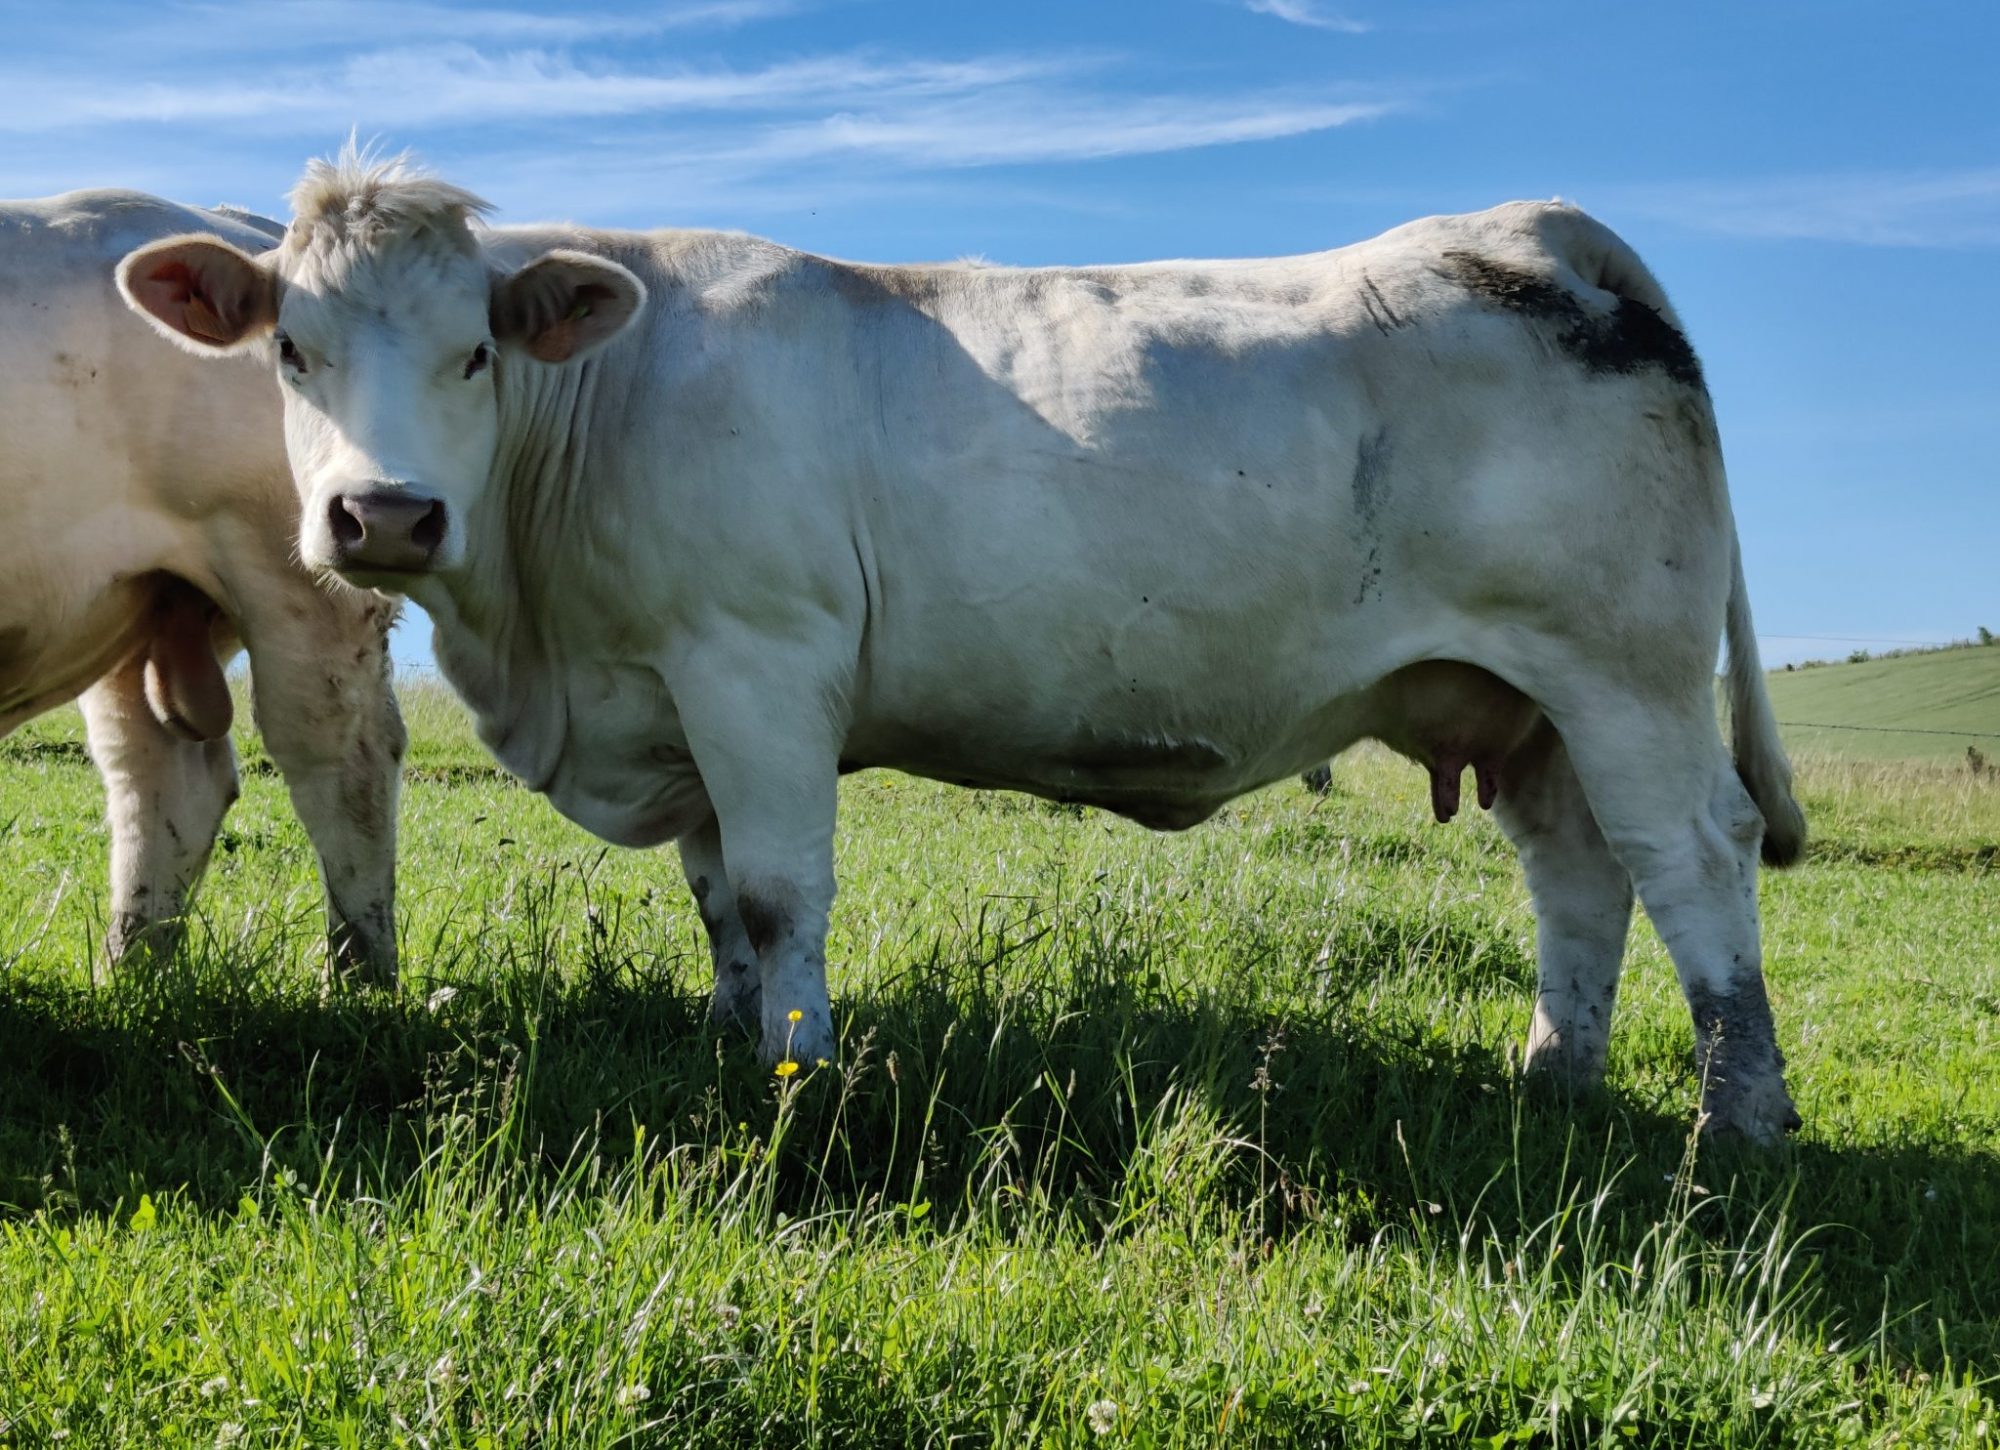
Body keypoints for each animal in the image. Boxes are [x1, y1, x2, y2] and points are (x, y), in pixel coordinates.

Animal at [0, 192, 406, 980]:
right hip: (146, 596)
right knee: (162, 775)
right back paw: (131, 969)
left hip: (295, 575)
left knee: (344, 757)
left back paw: (360, 973)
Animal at [125, 153, 1816, 1136]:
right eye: (292, 349)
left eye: (475, 350)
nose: (386, 514)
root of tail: (1534, 231)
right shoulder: (676, 688)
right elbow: (718, 897)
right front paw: (732, 1032)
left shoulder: (757, 659)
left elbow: (776, 884)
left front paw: (799, 1068)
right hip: (1528, 701)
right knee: (1583, 871)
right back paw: (1557, 1076)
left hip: (1628, 672)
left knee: (1694, 857)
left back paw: (1738, 1116)